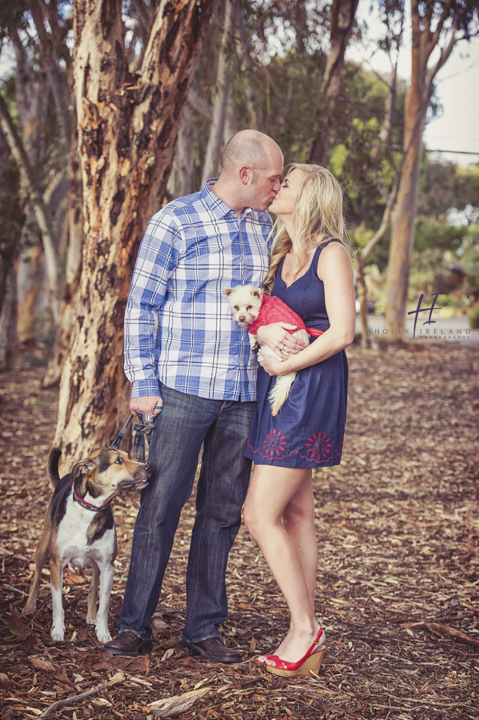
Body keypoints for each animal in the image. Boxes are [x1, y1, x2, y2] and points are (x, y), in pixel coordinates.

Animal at [23, 448, 150, 644]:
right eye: (118, 461)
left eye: (130, 457)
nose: (149, 467)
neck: (91, 509)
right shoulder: (56, 564)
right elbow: (57, 603)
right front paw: (57, 630)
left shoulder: (107, 567)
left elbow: (103, 605)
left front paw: (103, 632)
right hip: (43, 547)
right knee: (36, 576)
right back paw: (29, 607)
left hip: (97, 565)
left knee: (92, 588)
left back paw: (90, 616)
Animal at [223, 282, 310, 414]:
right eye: (236, 307)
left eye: (249, 307)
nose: (241, 318)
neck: (262, 303)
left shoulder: (259, 323)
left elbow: (252, 331)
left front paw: (253, 341)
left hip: (270, 348)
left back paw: (260, 355)